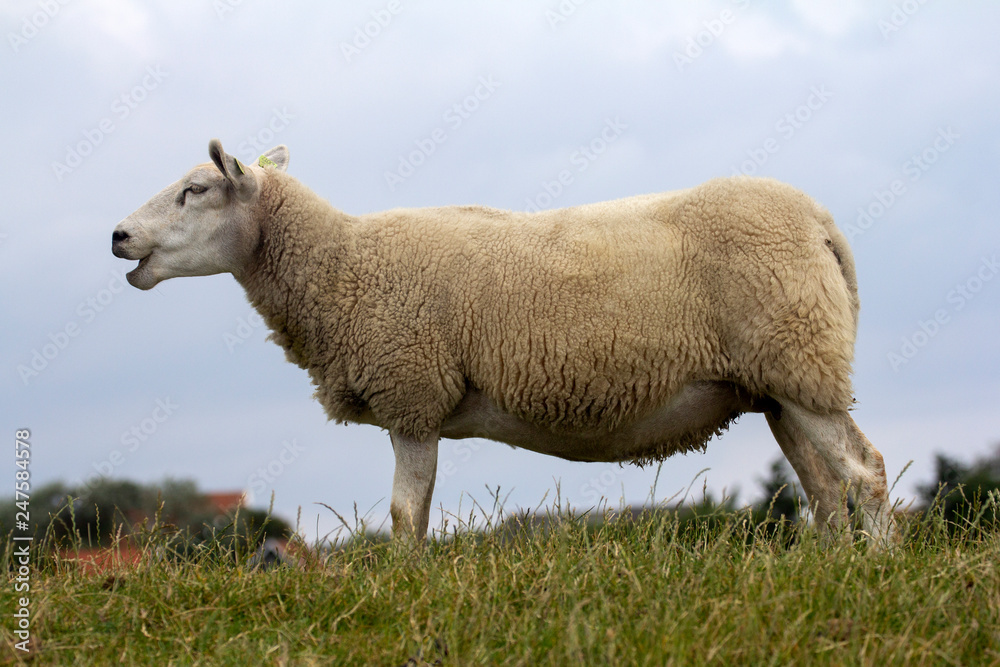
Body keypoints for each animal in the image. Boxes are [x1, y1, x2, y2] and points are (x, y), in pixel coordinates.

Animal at [111, 139, 895, 547]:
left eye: (196, 189)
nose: (118, 235)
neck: (338, 264)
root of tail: (819, 220)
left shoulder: (412, 393)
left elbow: (404, 514)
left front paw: (405, 589)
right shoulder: (416, 402)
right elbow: (417, 510)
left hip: (800, 359)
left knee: (864, 474)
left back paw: (878, 571)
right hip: (780, 382)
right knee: (826, 489)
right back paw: (831, 574)